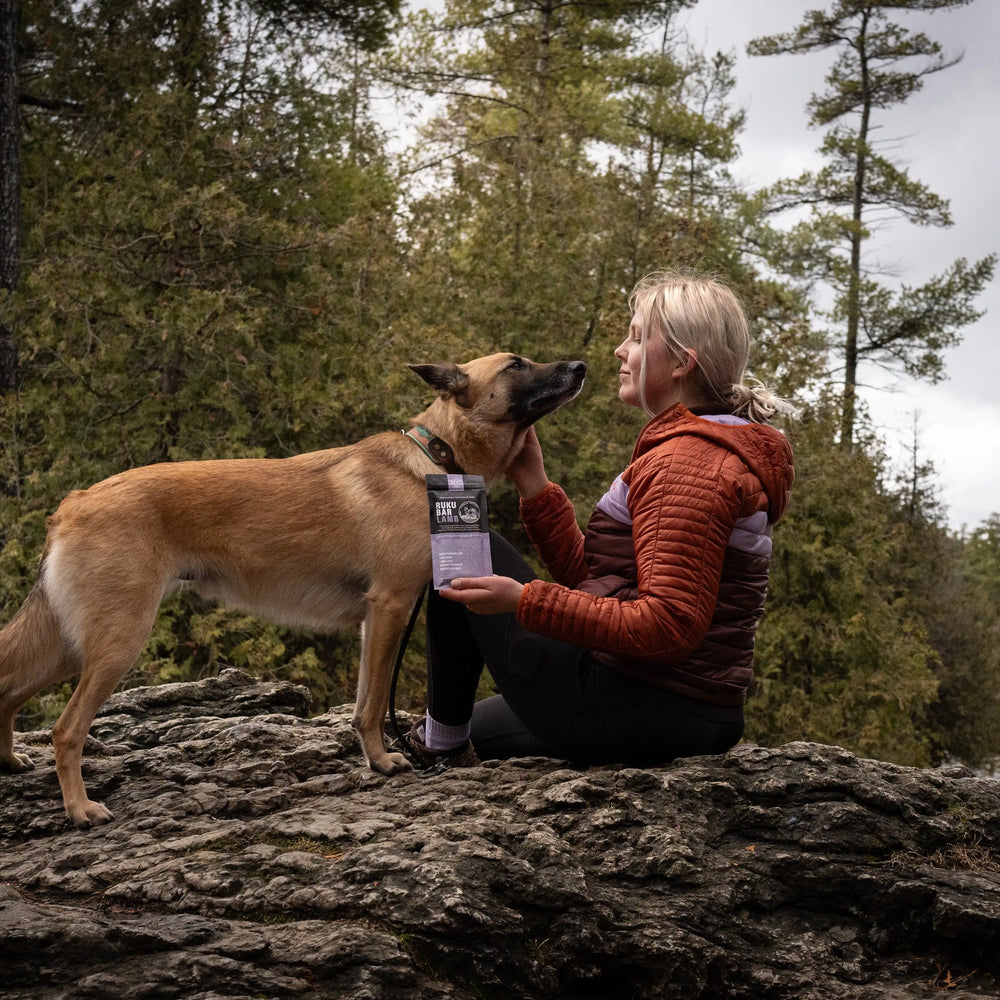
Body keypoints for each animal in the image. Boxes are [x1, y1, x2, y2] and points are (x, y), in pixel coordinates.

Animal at [0, 354, 584, 828]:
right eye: (515, 365)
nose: (579, 366)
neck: (438, 458)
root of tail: (74, 501)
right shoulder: (391, 607)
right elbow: (375, 705)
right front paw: (383, 762)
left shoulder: (375, 621)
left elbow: (362, 703)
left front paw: (372, 758)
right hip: (115, 642)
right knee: (64, 730)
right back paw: (80, 809)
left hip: (73, 643)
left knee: (9, 690)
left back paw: (9, 762)